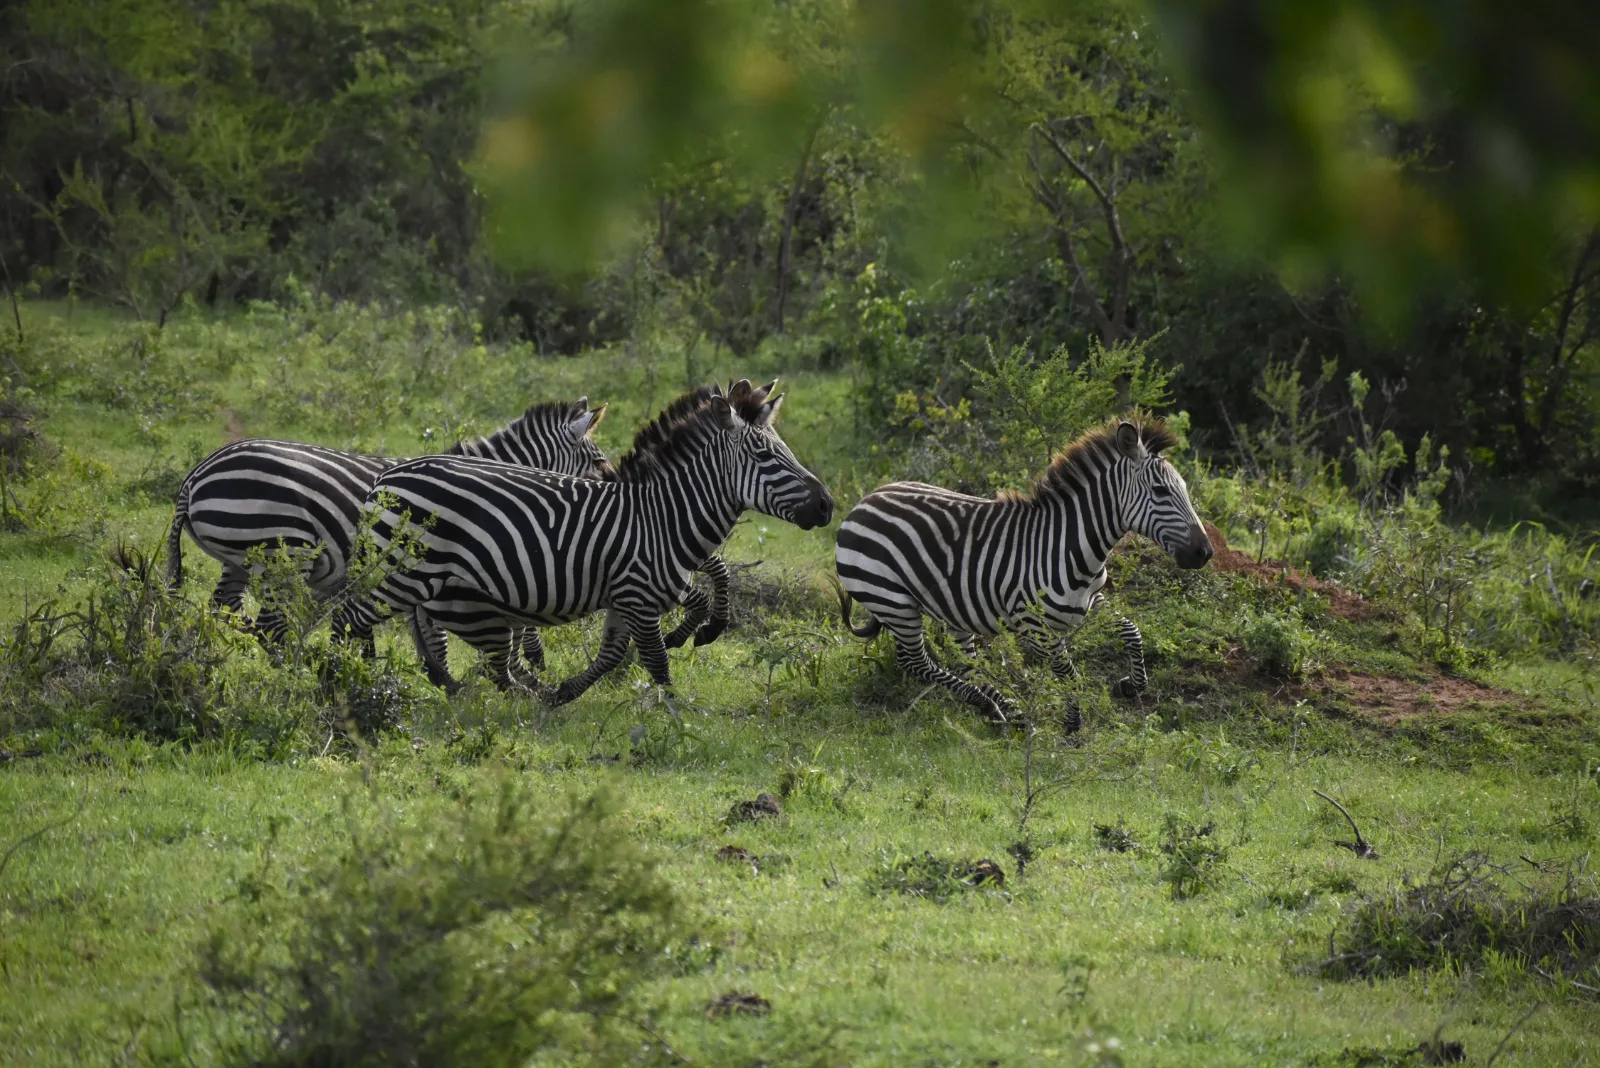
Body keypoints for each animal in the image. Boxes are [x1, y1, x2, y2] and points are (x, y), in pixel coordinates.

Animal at [166, 399, 730, 680]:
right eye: (596, 460)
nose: (618, 489)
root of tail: (194, 477)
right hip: (280, 554)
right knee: (266, 625)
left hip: (239, 562)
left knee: (224, 613)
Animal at [330, 380, 833, 702]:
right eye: (766, 456)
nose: (828, 506)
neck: (661, 517)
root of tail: (386, 478)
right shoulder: (638, 596)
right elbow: (656, 662)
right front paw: (678, 719)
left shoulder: (627, 599)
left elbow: (613, 656)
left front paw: (562, 693)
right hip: (404, 572)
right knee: (349, 616)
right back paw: (338, 679)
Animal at [834, 417, 1212, 729]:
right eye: (1160, 491)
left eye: (1185, 489)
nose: (1205, 553)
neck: (1072, 548)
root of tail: (865, 500)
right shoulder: (1035, 625)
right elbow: (1066, 670)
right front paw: (1072, 724)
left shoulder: (1093, 601)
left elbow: (1131, 631)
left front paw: (1131, 685)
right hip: (893, 602)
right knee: (915, 662)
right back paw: (992, 705)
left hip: (948, 609)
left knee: (966, 661)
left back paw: (1002, 709)